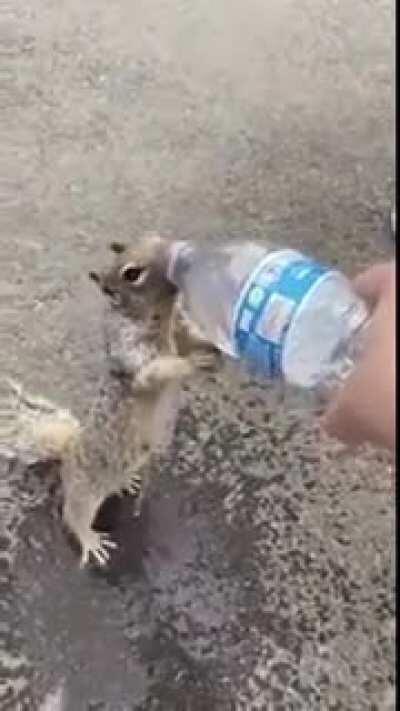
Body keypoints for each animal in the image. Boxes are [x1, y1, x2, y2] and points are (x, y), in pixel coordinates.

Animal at [0, 234, 217, 568]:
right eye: (132, 274)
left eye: (155, 238)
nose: (178, 255)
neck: (161, 318)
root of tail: (69, 451)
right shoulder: (132, 355)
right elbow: (158, 370)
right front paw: (194, 362)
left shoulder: (178, 331)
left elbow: (187, 338)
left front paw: (212, 346)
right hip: (84, 490)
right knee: (73, 515)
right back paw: (89, 539)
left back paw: (126, 484)